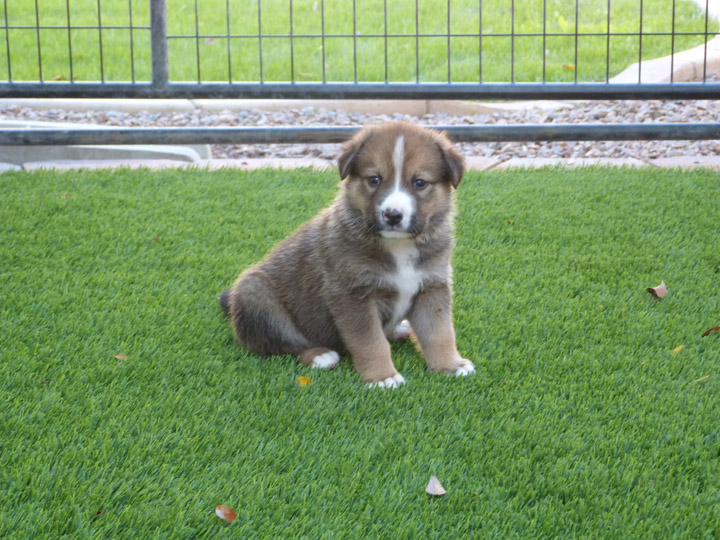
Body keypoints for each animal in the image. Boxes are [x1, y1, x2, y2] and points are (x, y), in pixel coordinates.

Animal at [222, 121, 476, 388]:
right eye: (374, 179)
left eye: (419, 183)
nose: (393, 215)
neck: (398, 246)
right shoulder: (352, 295)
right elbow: (371, 341)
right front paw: (382, 376)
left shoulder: (432, 286)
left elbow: (440, 332)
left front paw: (450, 365)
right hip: (255, 295)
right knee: (280, 343)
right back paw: (320, 355)